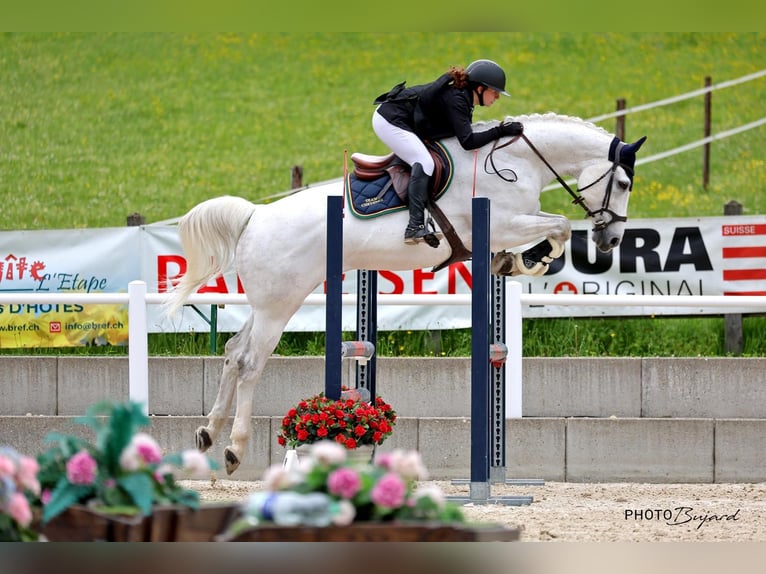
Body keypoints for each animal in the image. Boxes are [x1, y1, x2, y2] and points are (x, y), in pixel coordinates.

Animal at [167, 112, 647, 474]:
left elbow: (550, 231)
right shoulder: (504, 222)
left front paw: (515, 263)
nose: (610, 240)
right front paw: (532, 258)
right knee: (250, 362)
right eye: (624, 184)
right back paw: (235, 448)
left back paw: (208, 433)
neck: (515, 160)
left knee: (232, 351)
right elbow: (560, 226)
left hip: (271, 301)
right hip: (279, 304)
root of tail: (254, 216)